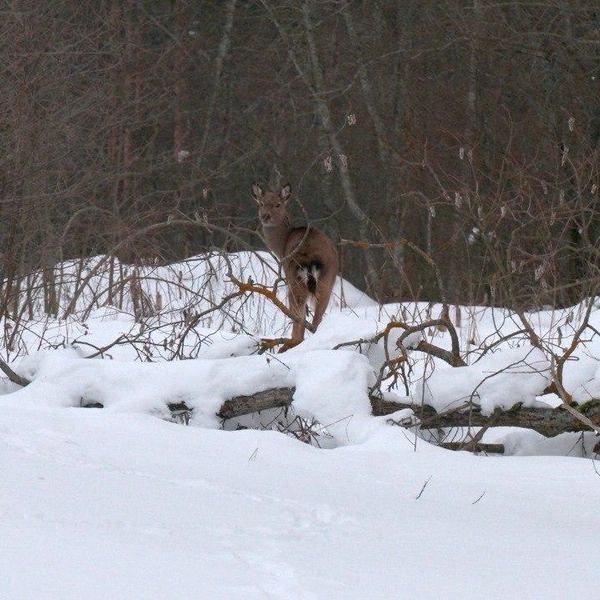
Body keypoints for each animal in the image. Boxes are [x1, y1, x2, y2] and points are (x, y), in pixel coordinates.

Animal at [252, 183, 340, 352]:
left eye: (278, 204)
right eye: (261, 203)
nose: (265, 216)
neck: (282, 245)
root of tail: (309, 261)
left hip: (294, 283)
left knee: (298, 316)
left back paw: (288, 344)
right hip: (327, 281)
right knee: (316, 319)